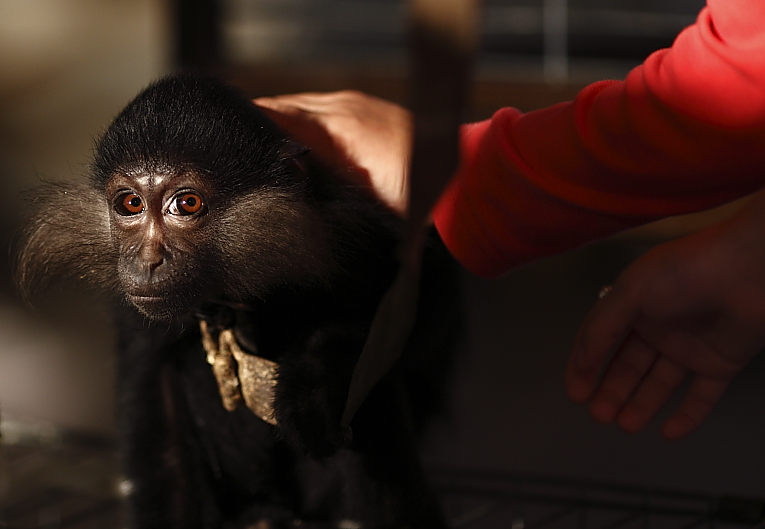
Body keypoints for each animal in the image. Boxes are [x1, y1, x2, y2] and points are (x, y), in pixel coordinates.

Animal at [16, 71, 460, 528]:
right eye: (131, 203)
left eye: (186, 203)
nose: (147, 260)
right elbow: (154, 391)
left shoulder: (350, 225)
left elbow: (421, 313)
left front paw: (311, 390)